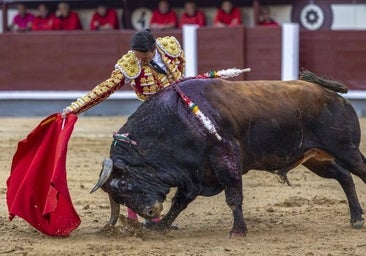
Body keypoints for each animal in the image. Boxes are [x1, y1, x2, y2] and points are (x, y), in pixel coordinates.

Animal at [91, 69, 366, 236]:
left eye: (123, 184)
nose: (150, 213)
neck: (176, 121)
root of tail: (332, 94)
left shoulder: (225, 158)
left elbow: (233, 196)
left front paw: (238, 231)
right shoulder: (193, 174)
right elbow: (180, 202)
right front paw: (162, 227)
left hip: (345, 149)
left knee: (360, 170)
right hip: (317, 158)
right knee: (344, 176)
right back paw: (356, 218)